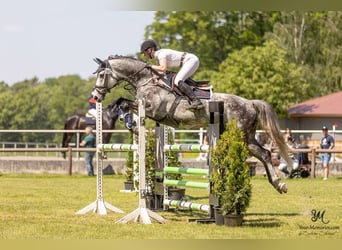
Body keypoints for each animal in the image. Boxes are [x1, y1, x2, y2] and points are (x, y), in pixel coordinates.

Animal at [92, 55, 292, 194]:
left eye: (102, 75)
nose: (95, 96)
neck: (146, 80)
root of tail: (250, 103)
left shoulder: (152, 110)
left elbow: (124, 103)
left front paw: (128, 121)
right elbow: (121, 101)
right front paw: (126, 120)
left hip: (243, 135)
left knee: (264, 154)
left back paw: (279, 184)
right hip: (246, 136)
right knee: (265, 154)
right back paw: (277, 184)